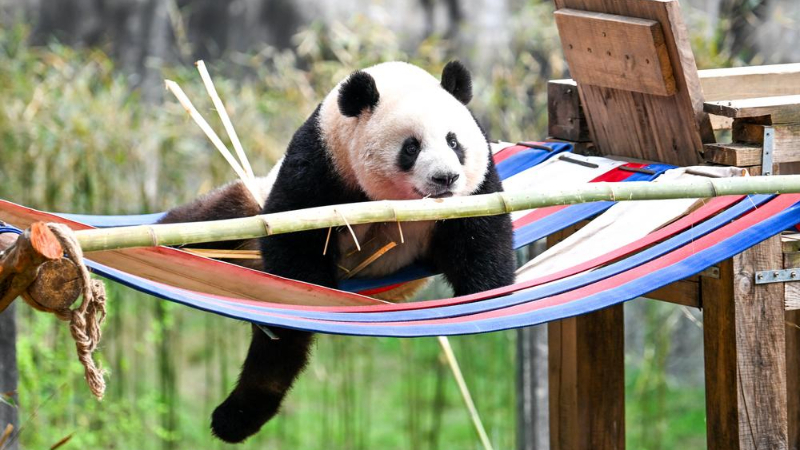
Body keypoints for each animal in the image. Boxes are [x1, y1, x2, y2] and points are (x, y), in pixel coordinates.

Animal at [159, 61, 515, 443]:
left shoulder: (478, 187)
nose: (445, 178)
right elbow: (294, 239)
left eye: (454, 141)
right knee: (210, 223)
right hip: (244, 210)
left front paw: (484, 299)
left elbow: (481, 238)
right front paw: (314, 293)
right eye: (411, 147)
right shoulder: (321, 164)